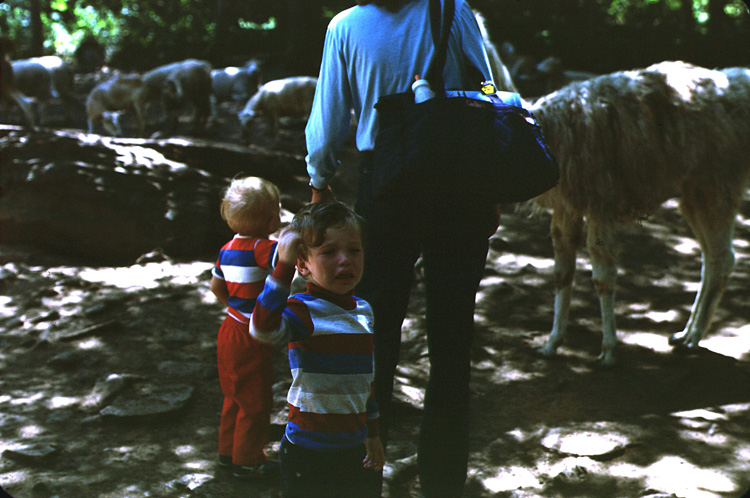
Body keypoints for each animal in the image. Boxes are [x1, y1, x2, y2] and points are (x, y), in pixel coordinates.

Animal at [532, 61, 750, 366]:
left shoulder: (600, 202)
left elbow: (602, 278)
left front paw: (608, 351)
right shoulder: (566, 206)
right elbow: (562, 273)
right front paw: (551, 344)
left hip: (718, 180)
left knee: (722, 258)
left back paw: (693, 338)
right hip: (696, 189)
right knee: (711, 258)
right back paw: (684, 335)